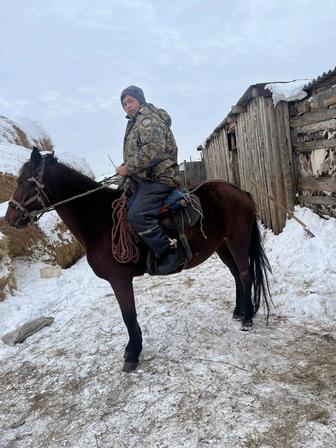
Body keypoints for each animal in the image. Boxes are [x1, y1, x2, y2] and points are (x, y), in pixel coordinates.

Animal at [5, 149, 270, 372]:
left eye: (22, 181)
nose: (9, 218)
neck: (99, 220)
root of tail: (240, 192)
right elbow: (129, 316)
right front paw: (134, 348)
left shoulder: (119, 280)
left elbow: (128, 316)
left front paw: (132, 353)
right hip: (222, 247)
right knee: (236, 275)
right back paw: (239, 311)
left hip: (236, 243)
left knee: (245, 274)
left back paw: (247, 318)